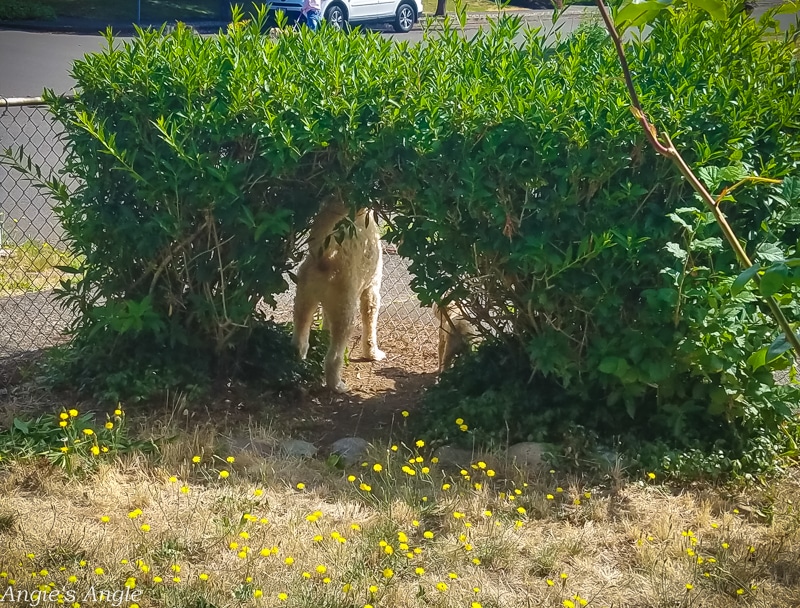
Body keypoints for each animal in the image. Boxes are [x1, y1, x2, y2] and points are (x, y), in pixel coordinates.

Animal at [292, 202, 386, 392]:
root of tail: (324, 256)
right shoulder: (371, 291)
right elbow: (370, 325)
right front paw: (372, 353)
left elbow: (326, 326)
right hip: (346, 313)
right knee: (334, 357)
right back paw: (336, 385)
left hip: (304, 302)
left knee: (300, 342)